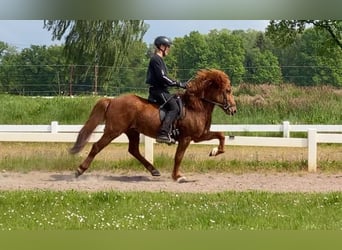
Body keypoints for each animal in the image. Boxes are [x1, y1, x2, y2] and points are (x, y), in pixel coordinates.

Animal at [69, 68, 235, 182]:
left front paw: (214, 152)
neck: (195, 106)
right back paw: (79, 170)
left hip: (132, 131)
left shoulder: (199, 136)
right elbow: (179, 157)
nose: (234, 109)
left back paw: (154, 170)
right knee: (97, 146)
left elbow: (221, 136)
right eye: (228, 90)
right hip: (113, 131)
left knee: (133, 150)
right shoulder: (186, 138)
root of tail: (112, 100)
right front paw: (177, 176)